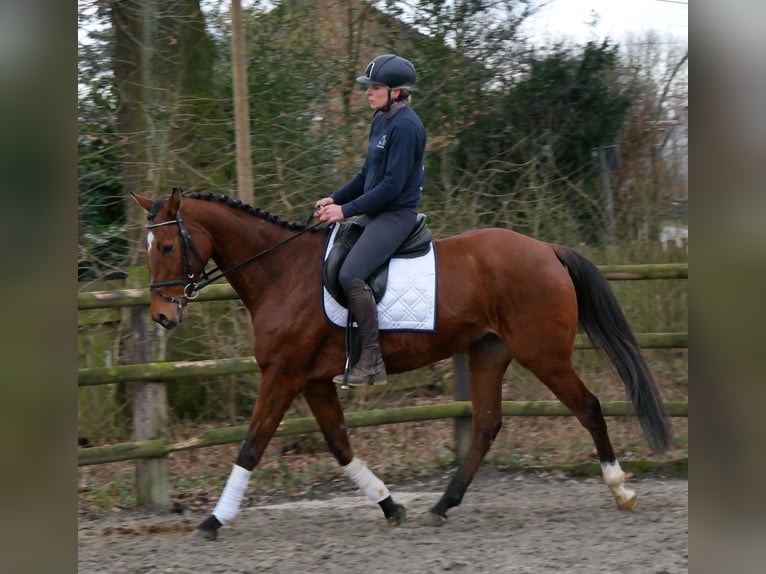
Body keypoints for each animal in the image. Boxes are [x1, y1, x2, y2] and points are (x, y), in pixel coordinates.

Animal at [132, 190, 672, 544]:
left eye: (167, 247)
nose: (161, 316)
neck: (280, 273)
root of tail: (547, 250)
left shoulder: (283, 376)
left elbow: (250, 446)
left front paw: (212, 521)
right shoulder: (313, 381)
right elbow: (341, 447)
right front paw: (391, 506)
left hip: (544, 354)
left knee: (589, 407)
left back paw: (621, 489)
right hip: (489, 353)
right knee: (486, 425)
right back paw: (442, 506)